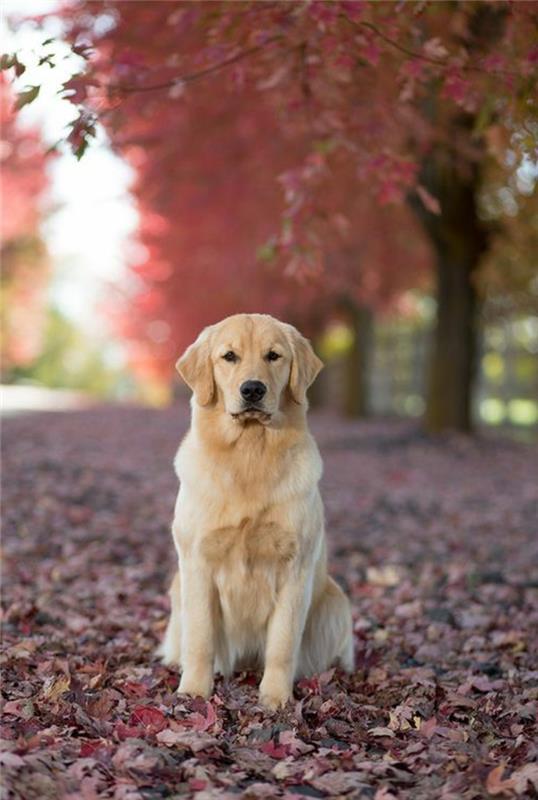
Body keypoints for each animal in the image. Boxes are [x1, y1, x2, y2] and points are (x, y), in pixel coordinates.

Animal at [157, 312, 354, 708]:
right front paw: (194, 691)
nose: (252, 390)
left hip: (336, 603)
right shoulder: (197, 563)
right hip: (178, 587)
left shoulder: (295, 568)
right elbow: (200, 639)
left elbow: (282, 644)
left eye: (273, 356)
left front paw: (275, 698)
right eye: (229, 356)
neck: (250, 453)